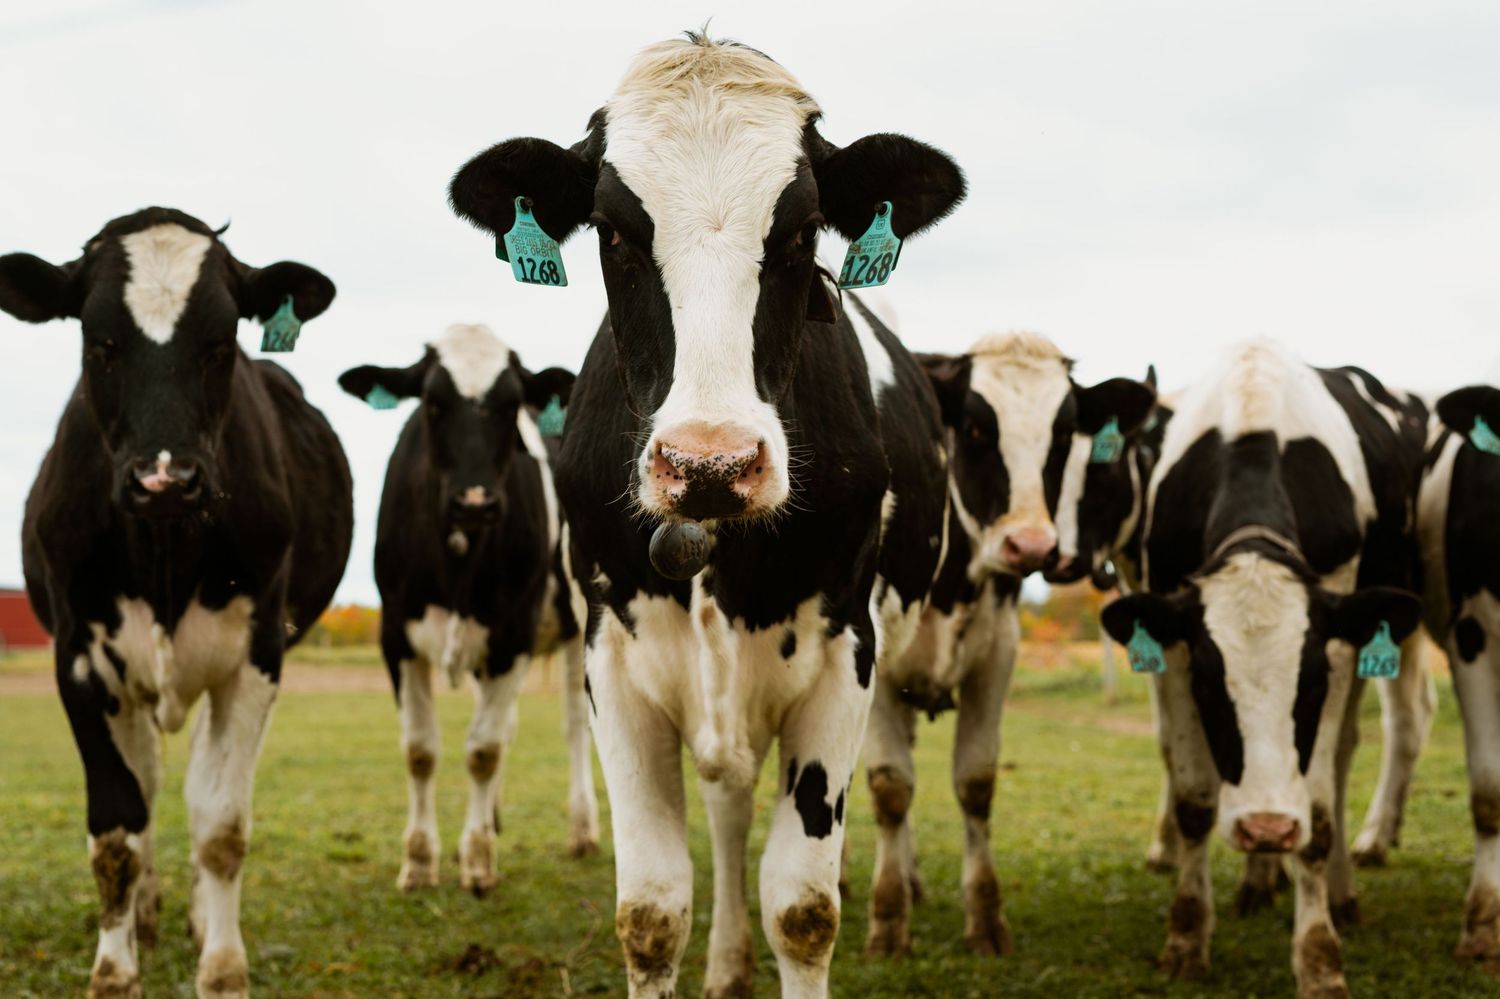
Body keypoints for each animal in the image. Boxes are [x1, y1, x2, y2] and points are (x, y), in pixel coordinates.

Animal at [0, 207, 352, 999]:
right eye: (98, 342)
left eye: (221, 344)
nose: (165, 479)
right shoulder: (79, 661)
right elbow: (117, 828)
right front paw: (113, 968)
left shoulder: (256, 659)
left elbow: (220, 823)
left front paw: (222, 967)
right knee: (151, 787)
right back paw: (145, 913)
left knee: (191, 787)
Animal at [336, 323, 597, 895]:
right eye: (432, 403)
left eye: (511, 406)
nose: (474, 502)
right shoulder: (396, 635)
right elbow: (420, 749)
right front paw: (419, 861)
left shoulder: (512, 635)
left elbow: (483, 749)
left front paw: (478, 860)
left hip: (579, 628)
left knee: (573, 724)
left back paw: (582, 831)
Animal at [447, 32, 964, 999]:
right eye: (614, 230)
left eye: (801, 230)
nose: (710, 461)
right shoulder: (610, 654)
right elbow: (652, 912)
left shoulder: (848, 649)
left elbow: (803, 907)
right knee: (725, 808)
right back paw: (726, 963)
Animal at [860, 334, 1155, 956]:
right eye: (974, 429)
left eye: (1064, 434)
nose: (1033, 545)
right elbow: (890, 787)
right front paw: (888, 920)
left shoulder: (997, 660)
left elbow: (975, 783)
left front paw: (985, 918)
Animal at [1101, 339, 1425, 998]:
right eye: (1207, 682)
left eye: (1311, 681)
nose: (1268, 828)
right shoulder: (1173, 638)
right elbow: (1195, 801)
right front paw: (1186, 937)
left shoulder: (1340, 641)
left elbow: (1320, 812)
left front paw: (1320, 956)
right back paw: (1259, 878)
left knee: (1342, 761)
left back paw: (1336, 889)